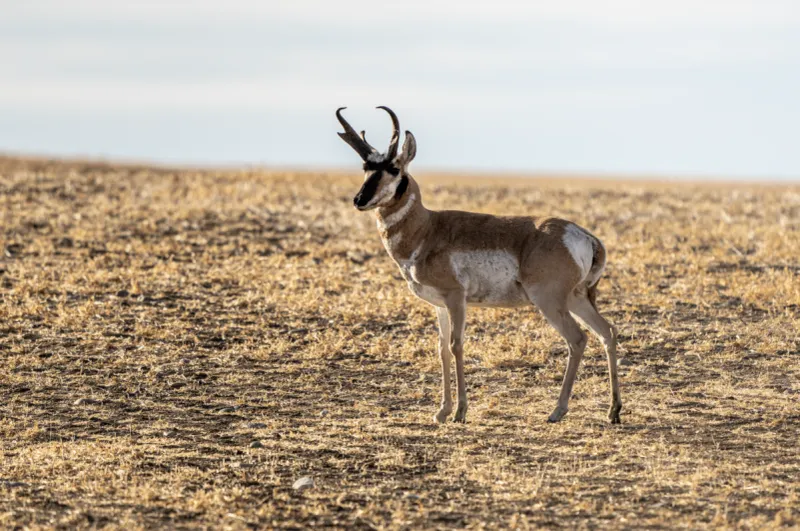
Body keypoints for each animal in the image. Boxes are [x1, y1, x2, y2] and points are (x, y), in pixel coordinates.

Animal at [334, 106, 620, 426]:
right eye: (366, 167)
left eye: (394, 169)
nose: (359, 200)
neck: (427, 229)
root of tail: (582, 235)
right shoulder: (439, 305)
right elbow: (442, 350)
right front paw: (442, 411)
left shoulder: (456, 299)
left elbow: (457, 345)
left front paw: (460, 411)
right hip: (576, 299)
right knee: (607, 331)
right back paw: (614, 410)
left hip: (550, 301)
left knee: (578, 339)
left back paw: (557, 411)